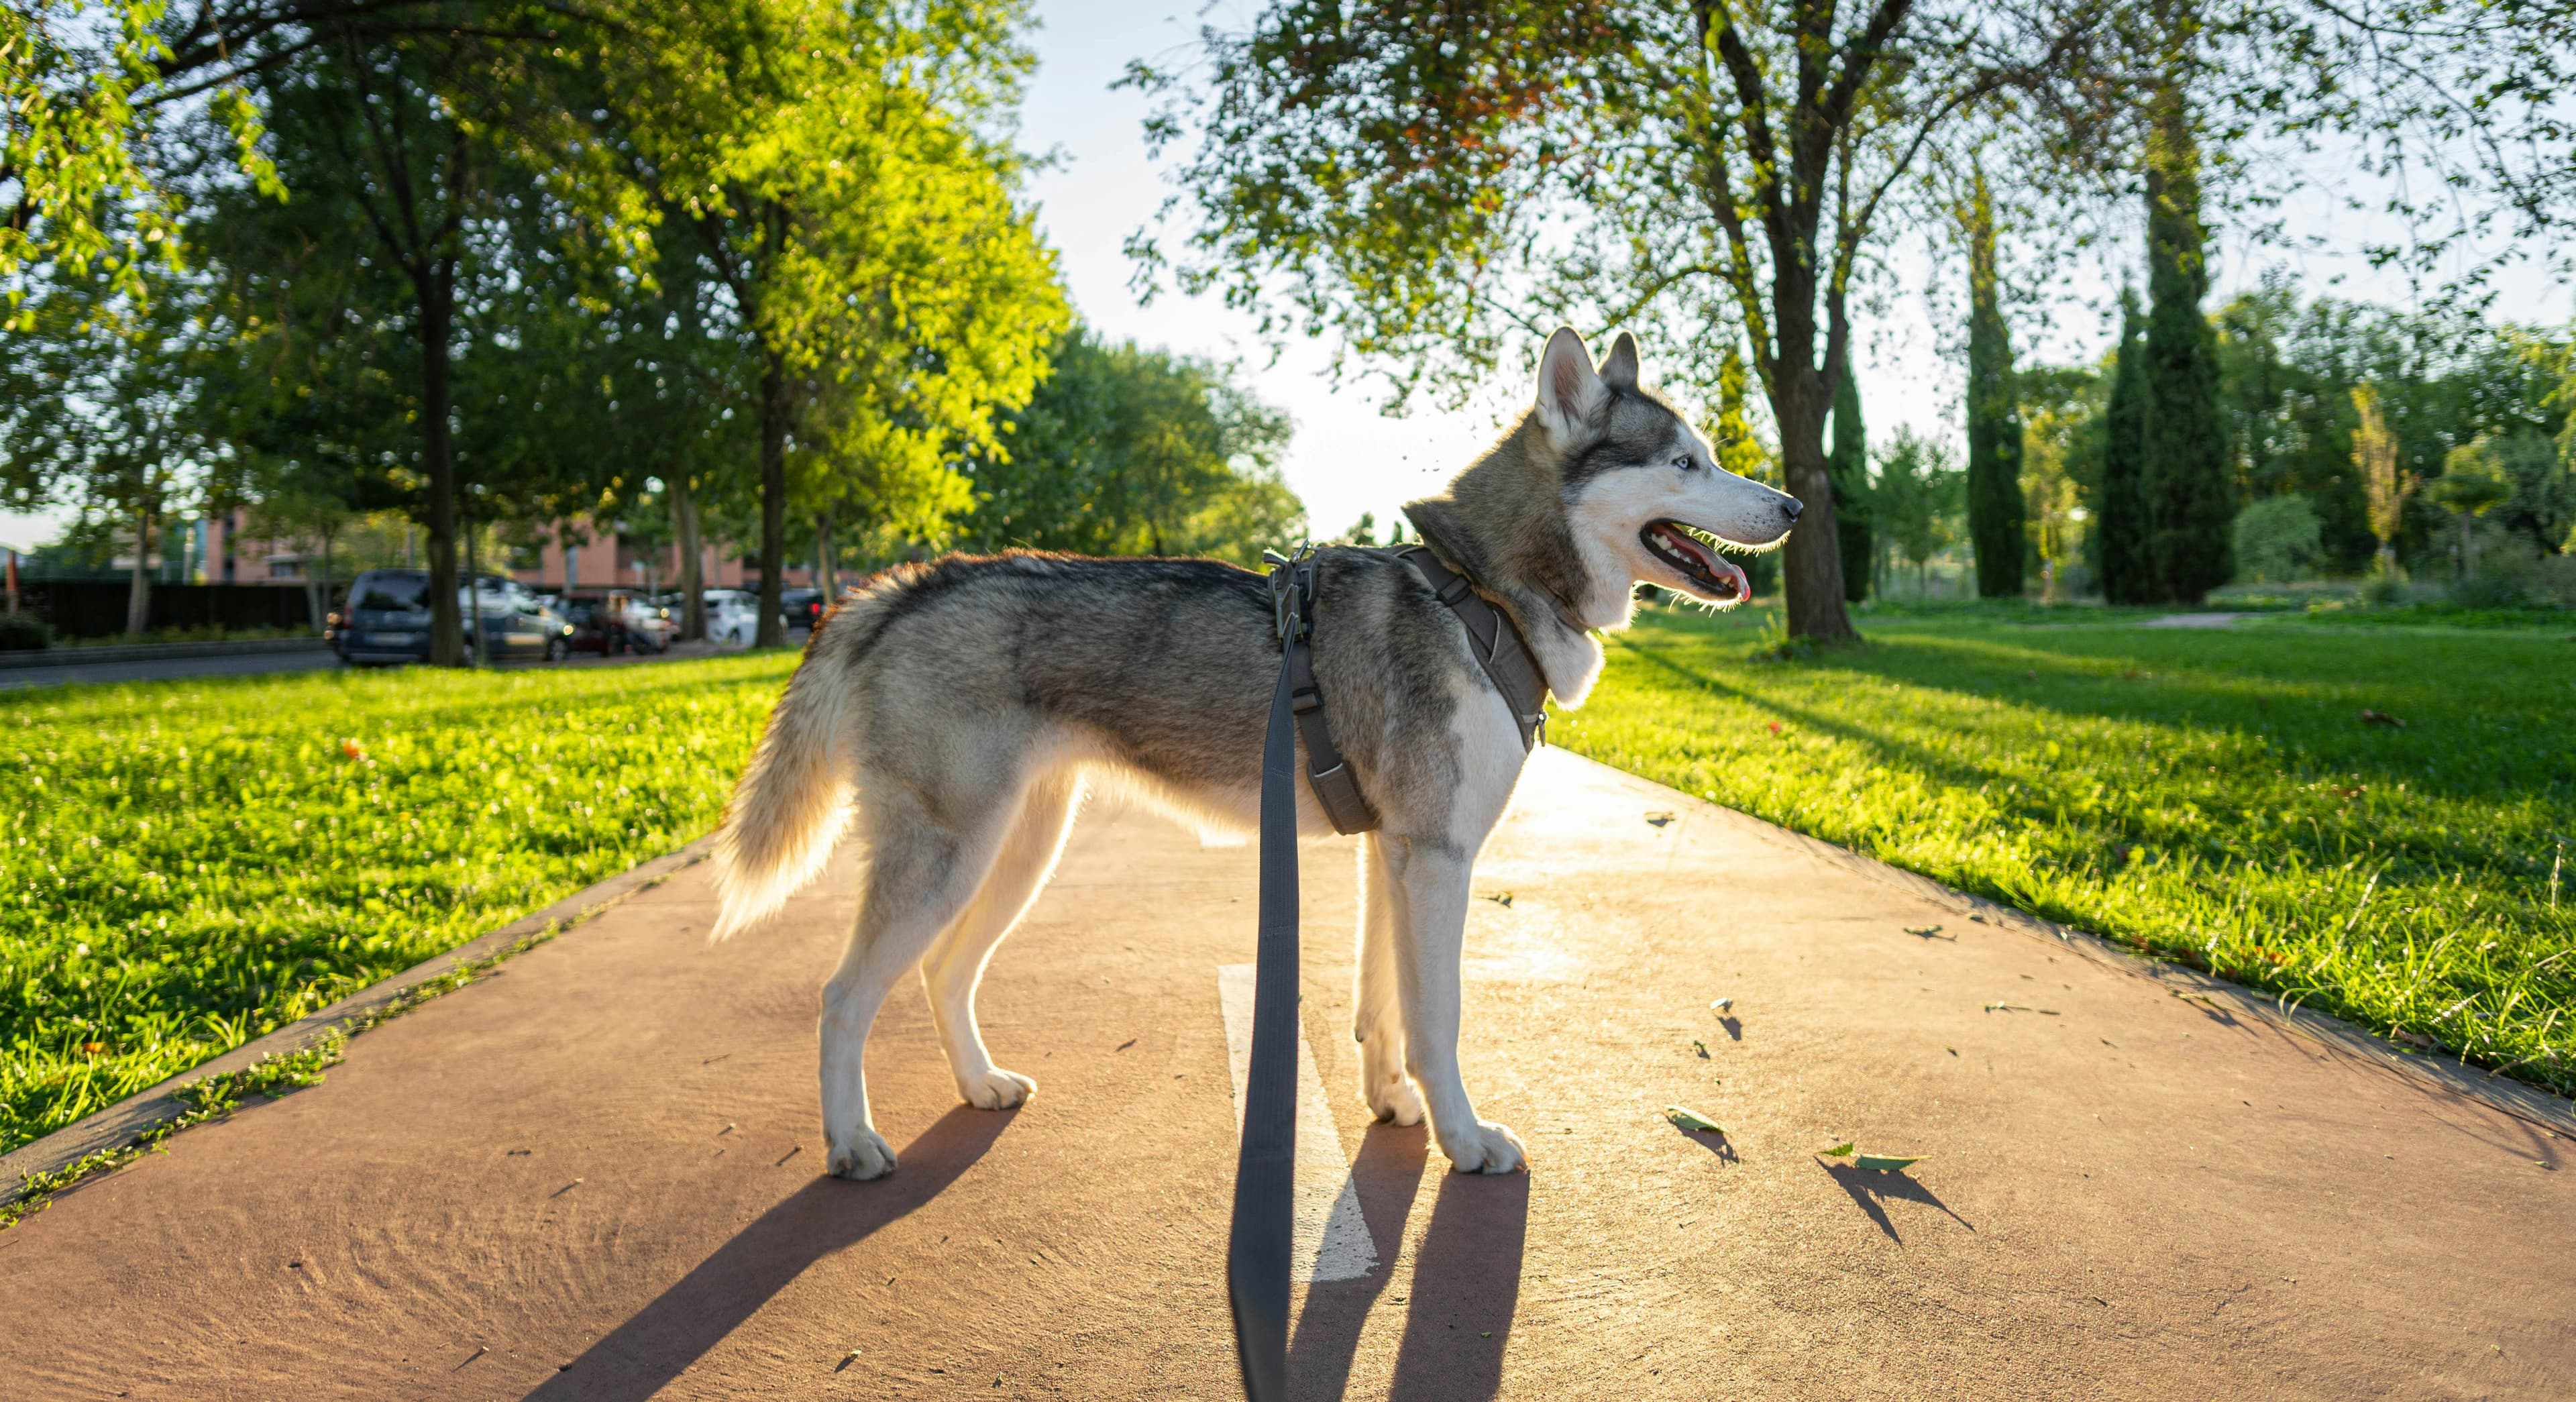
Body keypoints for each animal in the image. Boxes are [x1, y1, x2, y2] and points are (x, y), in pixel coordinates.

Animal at [706, 328, 1792, 1185]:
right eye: (1685, 463)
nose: (1788, 504)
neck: (1477, 593)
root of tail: (903, 585)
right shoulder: (1439, 857)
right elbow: (1437, 1018)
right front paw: (1466, 1139)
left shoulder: (1392, 854)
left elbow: (1381, 1004)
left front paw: (1393, 1102)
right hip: (950, 854)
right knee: (844, 996)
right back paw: (851, 1143)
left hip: (1016, 851)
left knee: (943, 971)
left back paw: (978, 1086)